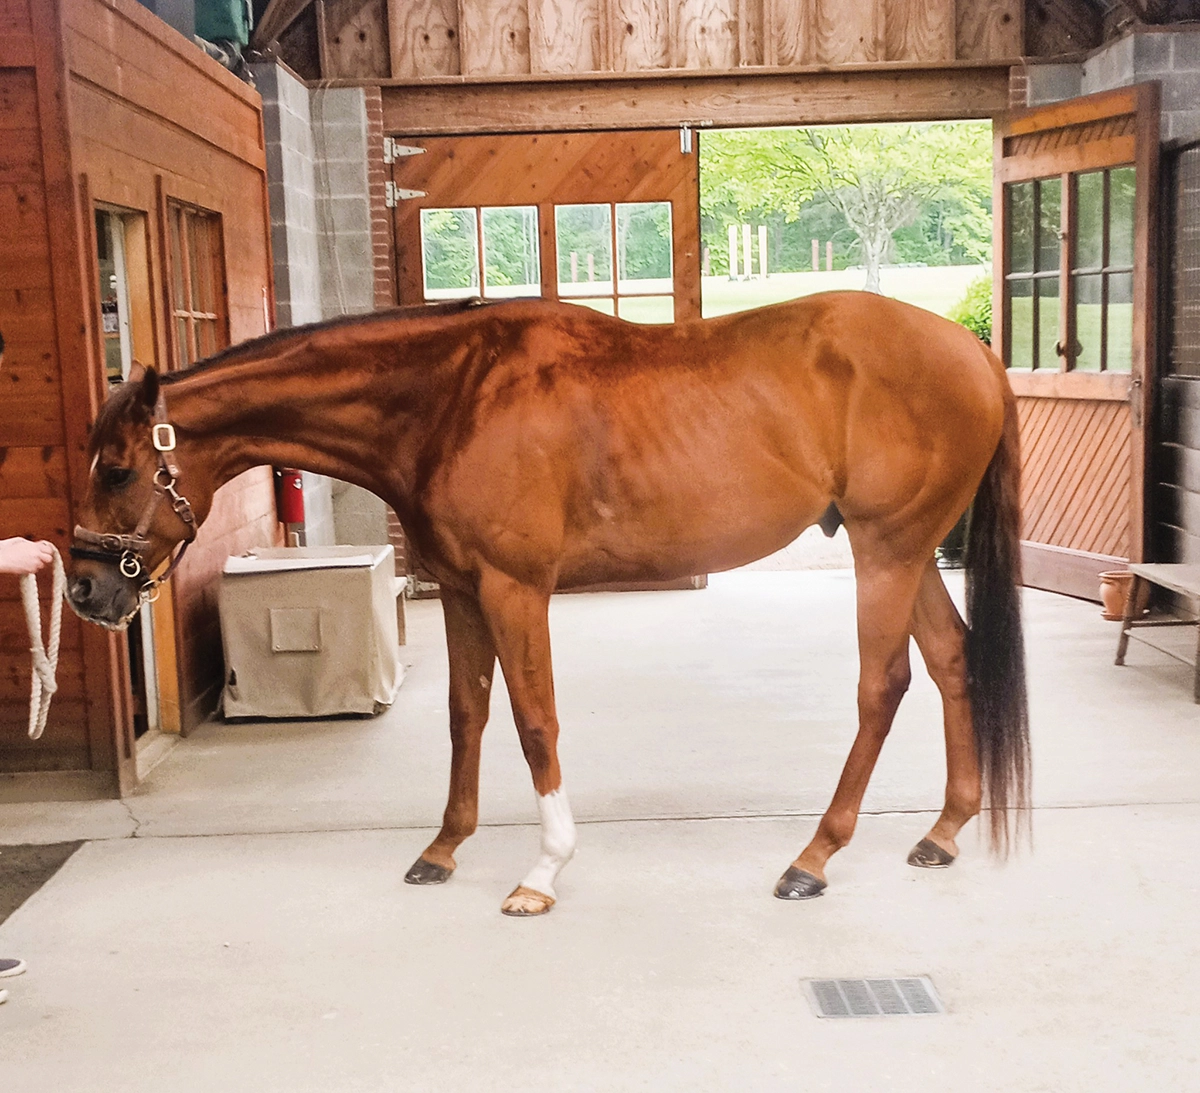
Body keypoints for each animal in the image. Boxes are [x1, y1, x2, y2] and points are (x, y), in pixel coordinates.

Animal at [66, 292, 1029, 916]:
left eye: (117, 467)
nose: (84, 588)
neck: (452, 395)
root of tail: (975, 350)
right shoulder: (462, 588)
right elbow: (466, 713)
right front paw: (442, 848)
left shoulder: (514, 587)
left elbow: (535, 720)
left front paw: (543, 870)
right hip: (909, 552)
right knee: (951, 659)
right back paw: (943, 831)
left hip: (887, 549)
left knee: (883, 686)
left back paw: (814, 858)